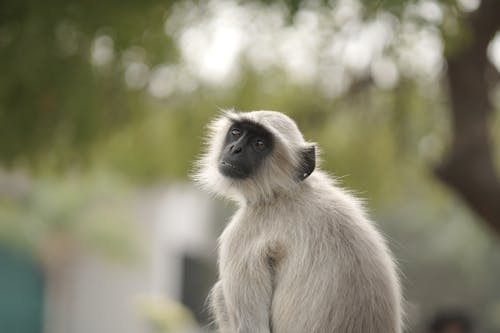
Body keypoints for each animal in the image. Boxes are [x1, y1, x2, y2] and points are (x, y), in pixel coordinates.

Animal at [194, 110, 402, 330]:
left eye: (259, 144)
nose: (235, 148)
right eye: (236, 133)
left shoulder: (242, 235)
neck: (285, 192)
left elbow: (254, 327)